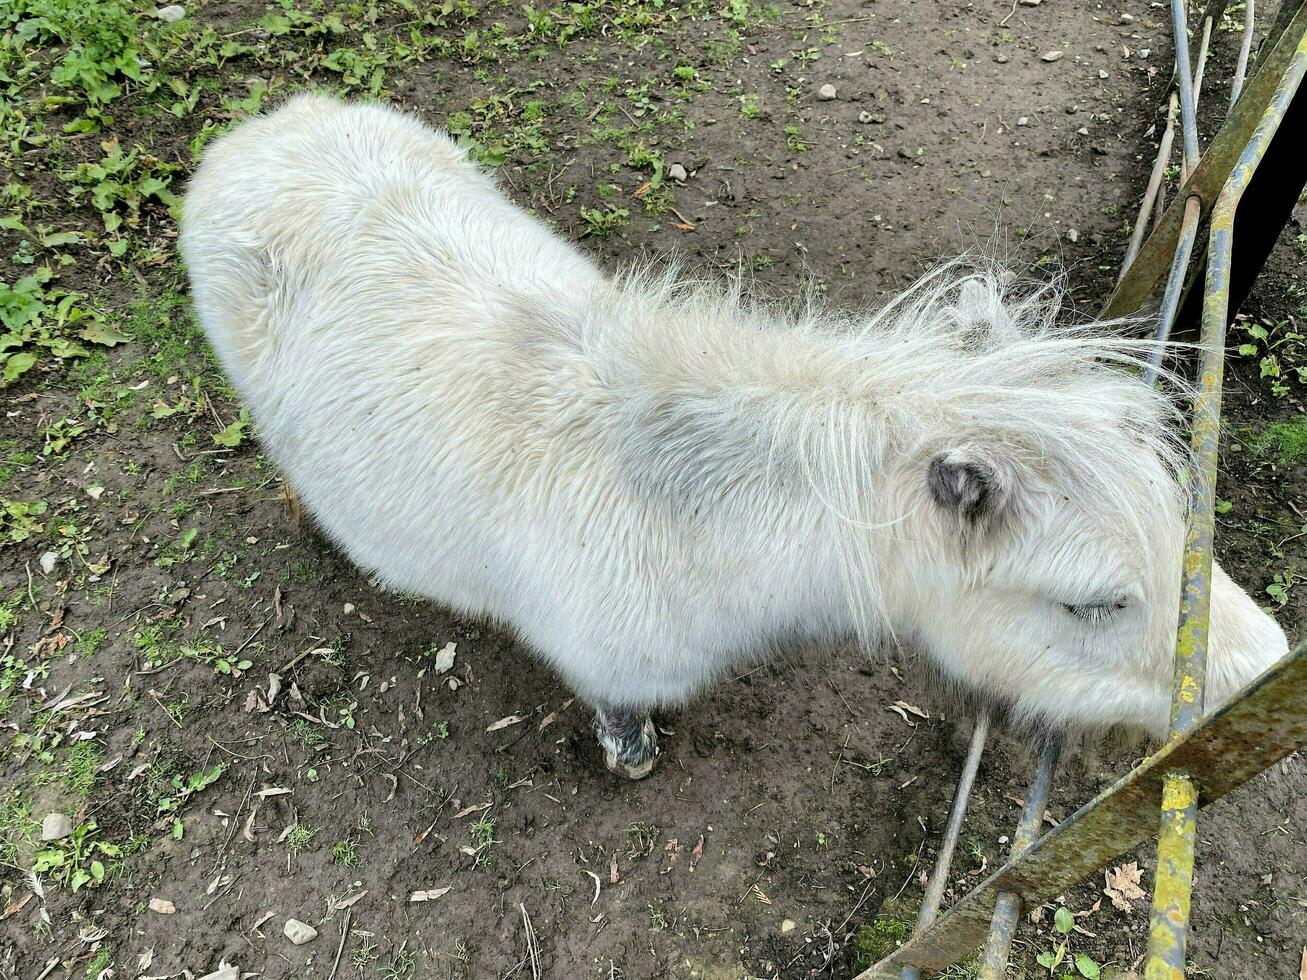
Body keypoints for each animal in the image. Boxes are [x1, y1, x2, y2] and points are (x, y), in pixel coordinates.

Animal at [181, 96, 1286, 778]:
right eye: (1092, 600)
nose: (1266, 664)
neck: (688, 508)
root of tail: (265, 132)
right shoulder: (609, 665)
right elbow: (619, 718)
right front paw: (631, 759)